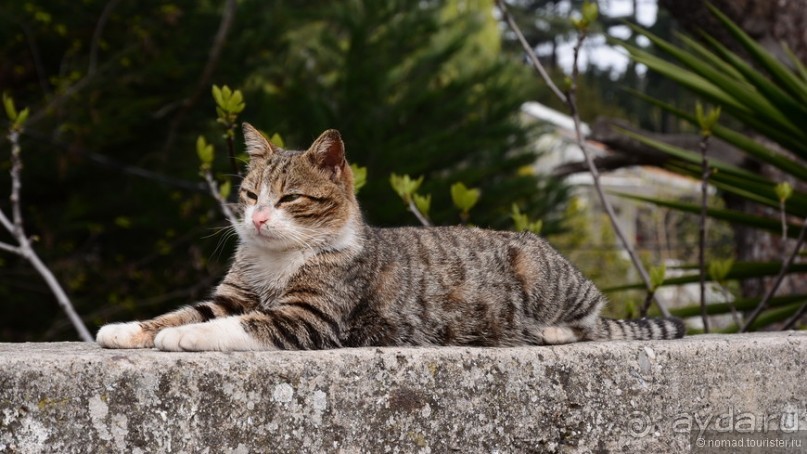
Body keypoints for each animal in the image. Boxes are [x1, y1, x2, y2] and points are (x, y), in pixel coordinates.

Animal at [96, 124, 688, 352]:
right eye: (248, 194)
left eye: (289, 199)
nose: (258, 219)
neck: (276, 260)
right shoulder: (232, 294)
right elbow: (182, 312)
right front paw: (129, 330)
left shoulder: (310, 318)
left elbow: (239, 325)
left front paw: (185, 339)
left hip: (545, 276)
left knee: (593, 317)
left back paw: (554, 331)